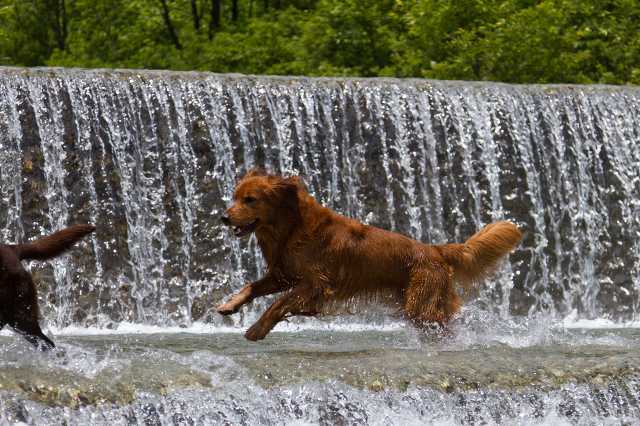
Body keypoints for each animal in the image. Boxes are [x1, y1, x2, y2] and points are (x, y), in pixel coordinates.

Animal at [218, 171, 524, 342]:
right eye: (235, 197)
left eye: (250, 200)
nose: (223, 217)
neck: (291, 227)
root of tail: (435, 250)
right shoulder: (284, 274)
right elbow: (252, 286)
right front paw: (229, 304)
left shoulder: (315, 283)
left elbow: (278, 304)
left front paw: (257, 329)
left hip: (421, 305)